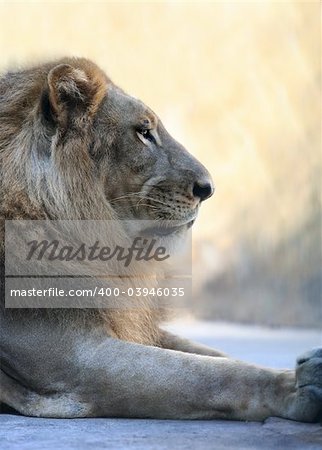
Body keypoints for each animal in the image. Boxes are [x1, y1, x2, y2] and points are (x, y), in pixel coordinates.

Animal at [0, 57, 320, 422]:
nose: (208, 189)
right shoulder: (75, 359)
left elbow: (212, 354)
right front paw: (299, 386)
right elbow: (208, 374)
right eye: (144, 132)